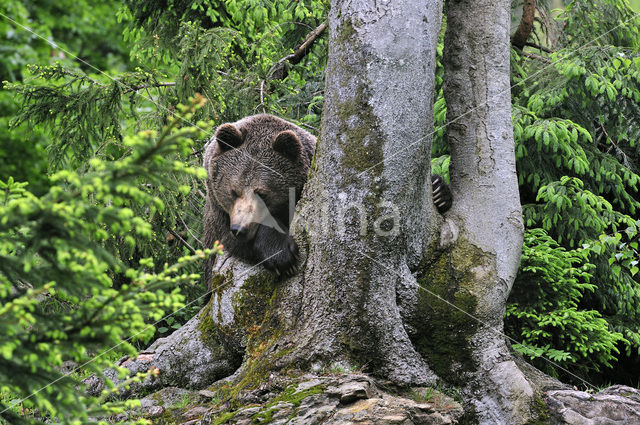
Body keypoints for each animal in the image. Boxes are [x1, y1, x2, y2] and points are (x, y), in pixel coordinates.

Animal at [202, 112, 452, 284]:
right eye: (233, 190)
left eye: (262, 193)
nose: (240, 228)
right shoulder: (217, 210)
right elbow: (230, 240)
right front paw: (283, 256)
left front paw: (438, 191)